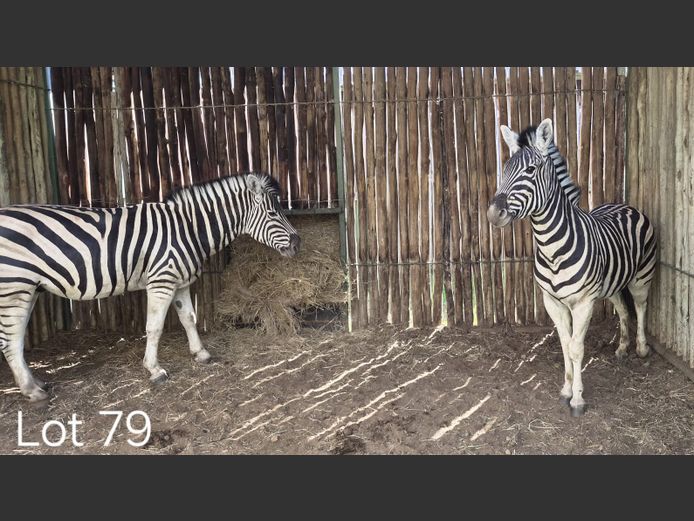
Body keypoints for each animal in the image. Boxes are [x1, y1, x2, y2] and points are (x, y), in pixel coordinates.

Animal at [0, 172, 300, 401]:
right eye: (273, 213)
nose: (298, 244)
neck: (188, 229)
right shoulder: (161, 281)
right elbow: (154, 328)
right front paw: (154, 370)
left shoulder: (180, 281)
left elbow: (189, 318)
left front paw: (200, 354)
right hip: (14, 287)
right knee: (10, 340)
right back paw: (32, 391)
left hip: (28, 288)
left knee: (15, 339)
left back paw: (36, 383)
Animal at [487, 119, 657, 416]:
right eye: (504, 170)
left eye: (530, 170)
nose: (494, 214)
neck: (551, 247)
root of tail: (625, 204)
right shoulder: (552, 301)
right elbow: (565, 345)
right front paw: (566, 390)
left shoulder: (583, 302)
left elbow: (577, 348)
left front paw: (577, 399)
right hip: (612, 283)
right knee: (624, 311)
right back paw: (623, 348)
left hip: (641, 277)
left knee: (640, 306)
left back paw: (642, 348)